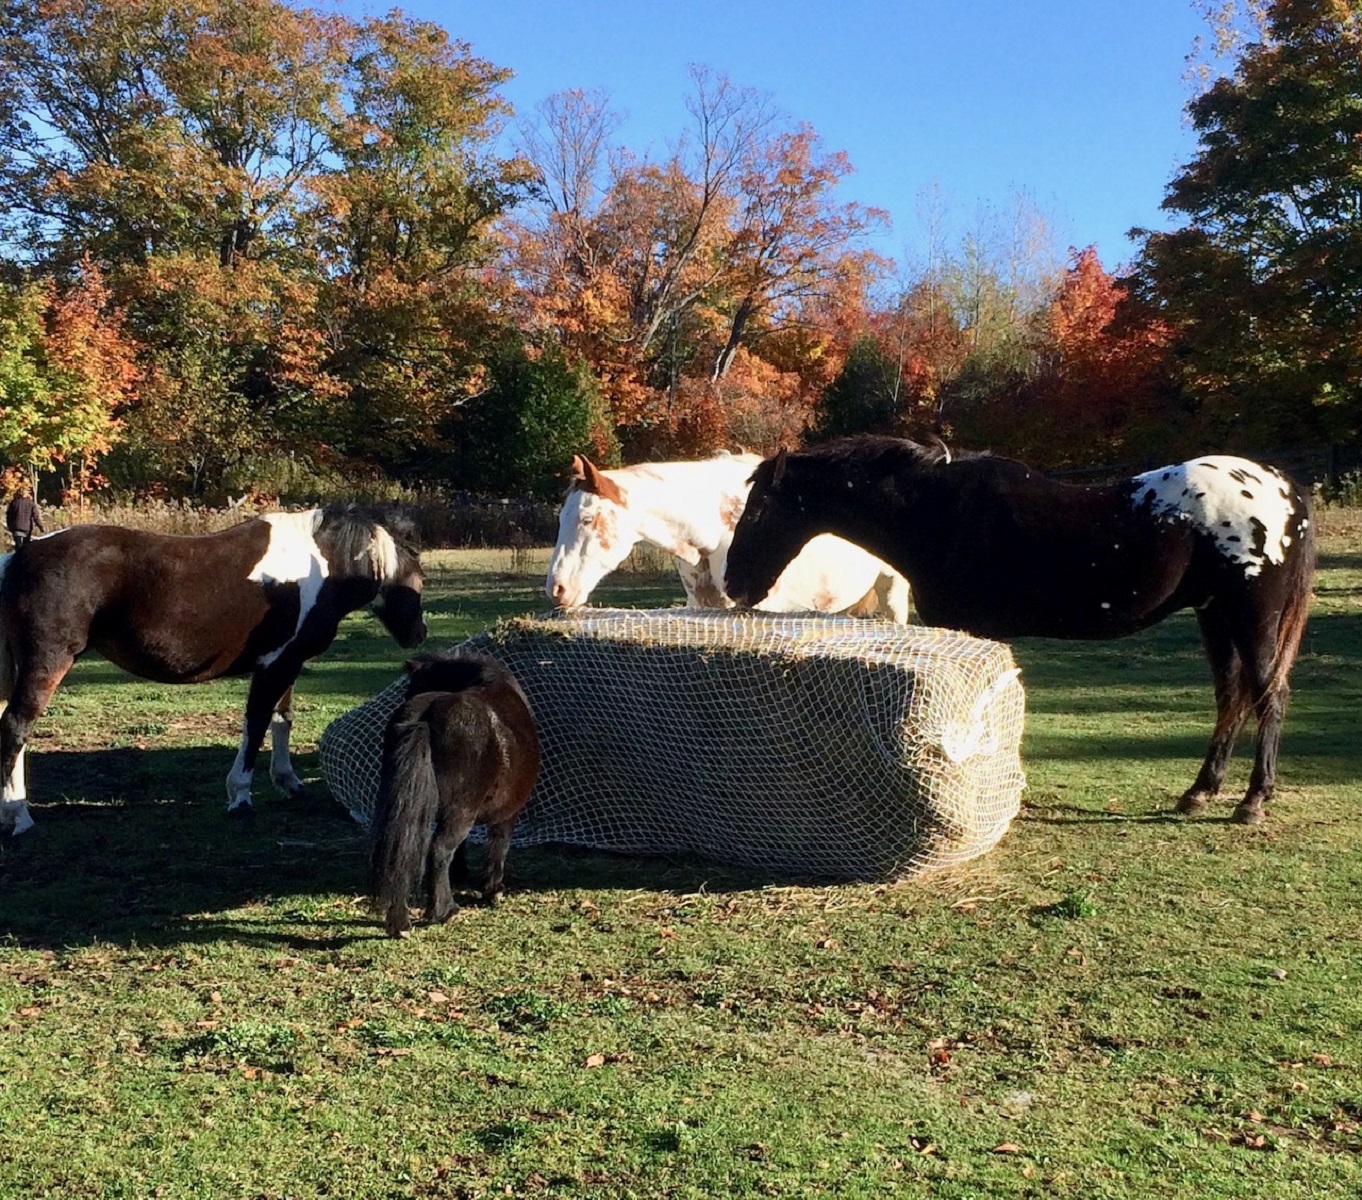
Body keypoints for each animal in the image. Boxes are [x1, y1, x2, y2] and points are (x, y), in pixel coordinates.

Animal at [0, 503, 424, 833]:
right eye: (418, 572)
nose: (418, 633)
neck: (315, 570)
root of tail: (19, 557)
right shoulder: (273, 667)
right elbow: (256, 725)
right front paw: (240, 796)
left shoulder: (288, 662)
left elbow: (281, 719)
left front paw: (288, 782)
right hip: (48, 662)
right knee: (16, 728)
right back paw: (18, 817)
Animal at [373, 645, 547, 937]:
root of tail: (424, 720)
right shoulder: (507, 814)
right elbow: (498, 845)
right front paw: (492, 890)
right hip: (461, 813)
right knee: (439, 849)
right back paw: (444, 911)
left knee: (402, 853)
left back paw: (401, 923)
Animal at [730, 438, 1312, 822]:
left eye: (757, 510)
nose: (735, 582)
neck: (938, 513)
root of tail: (1285, 491)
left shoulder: (964, 629)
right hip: (1215, 617)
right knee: (1232, 697)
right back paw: (1199, 792)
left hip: (1251, 618)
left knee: (1270, 697)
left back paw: (1252, 801)